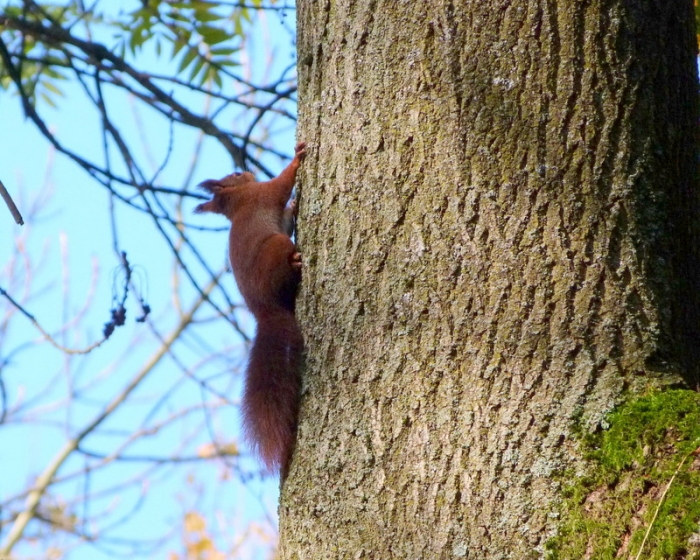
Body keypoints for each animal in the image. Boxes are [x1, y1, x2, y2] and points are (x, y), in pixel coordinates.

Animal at [195, 142, 306, 477]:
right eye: (234, 175)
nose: (244, 169)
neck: (238, 201)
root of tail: (266, 312)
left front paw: (294, 204)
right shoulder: (263, 194)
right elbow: (281, 184)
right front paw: (296, 158)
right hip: (276, 248)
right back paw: (295, 261)